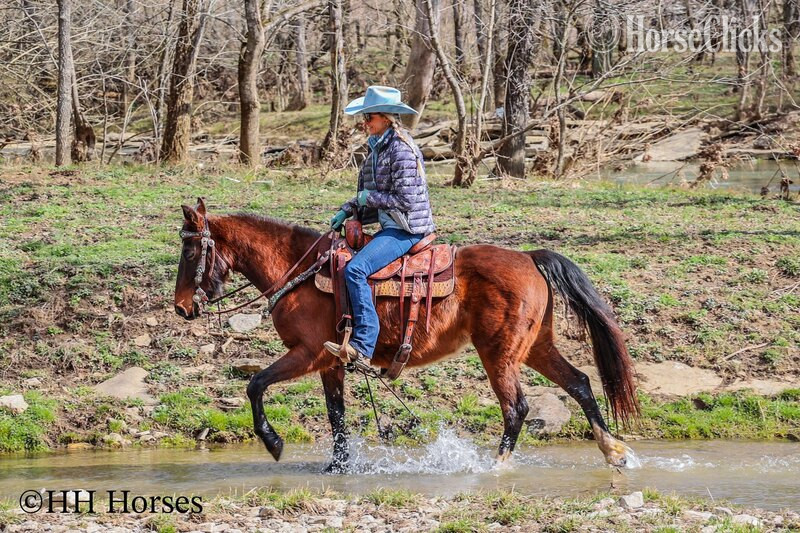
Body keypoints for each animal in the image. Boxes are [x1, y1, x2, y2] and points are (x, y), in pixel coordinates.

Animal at [174, 198, 639, 472]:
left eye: (192, 250)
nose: (182, 307)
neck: (301, 271)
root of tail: (528, 256)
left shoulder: (308, 353)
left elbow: (255, 383)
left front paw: (273, 443)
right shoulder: (331, 363)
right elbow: (336, 414)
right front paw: (338, 467)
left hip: (499, 353)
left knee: (517, 408)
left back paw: (498, 466)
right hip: (535, 346)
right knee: (579, 383)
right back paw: (613, 451)